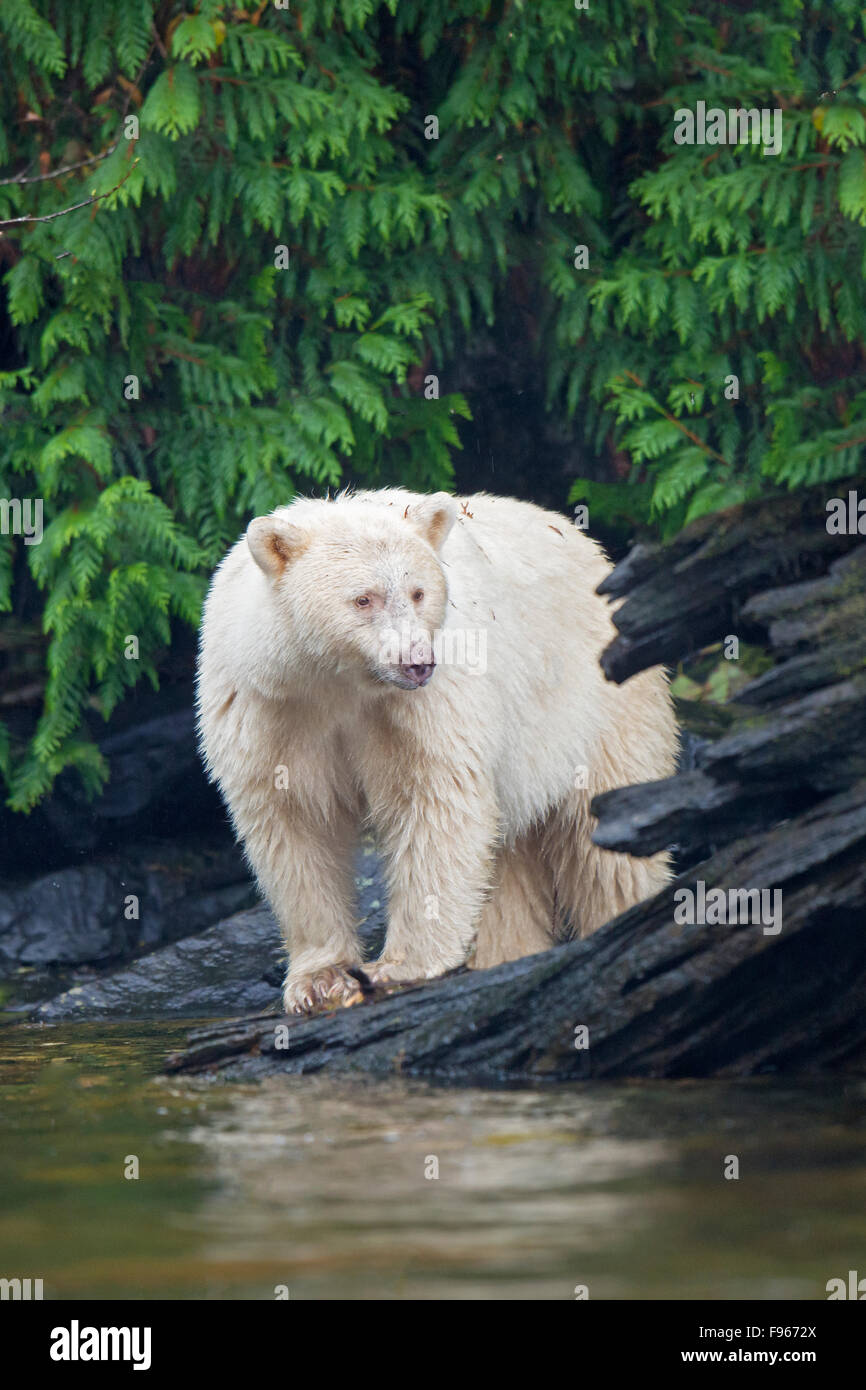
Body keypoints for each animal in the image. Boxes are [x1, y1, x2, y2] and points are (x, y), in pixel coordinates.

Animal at [194, 489, 678, 1011]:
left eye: (418, 593)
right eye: (363, 598)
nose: (417, 662)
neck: (339, 683)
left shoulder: (425, 702)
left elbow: (432, 801)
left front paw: (399, 966)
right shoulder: (268, 706)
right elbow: (296, 820)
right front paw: (321, 980)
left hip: (594, 703)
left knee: (608, 841)